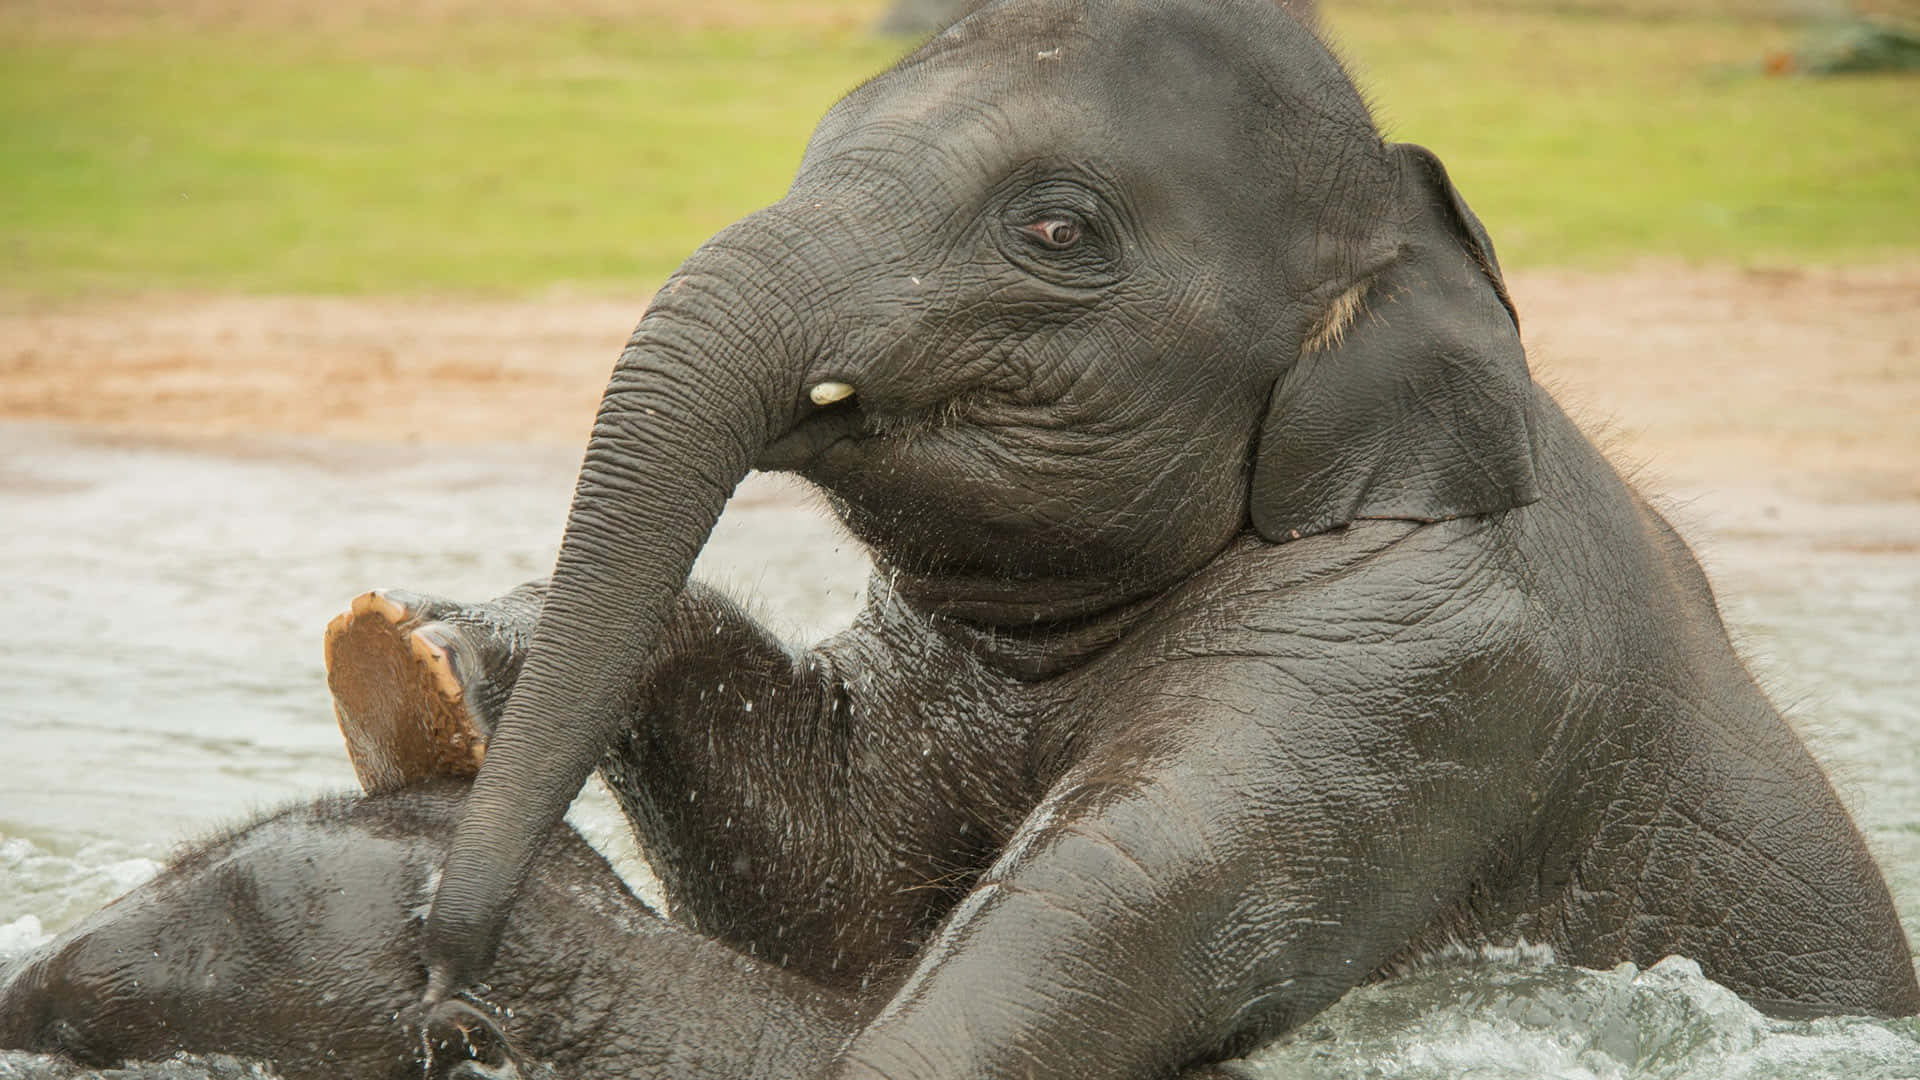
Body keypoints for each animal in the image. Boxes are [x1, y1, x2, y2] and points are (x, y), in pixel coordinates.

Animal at [313, 0, 1919, 1075]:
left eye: (1055, 231)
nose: (450, 991)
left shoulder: (1401, 682)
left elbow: (950, 1016)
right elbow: (833, 894)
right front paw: (441, 654)